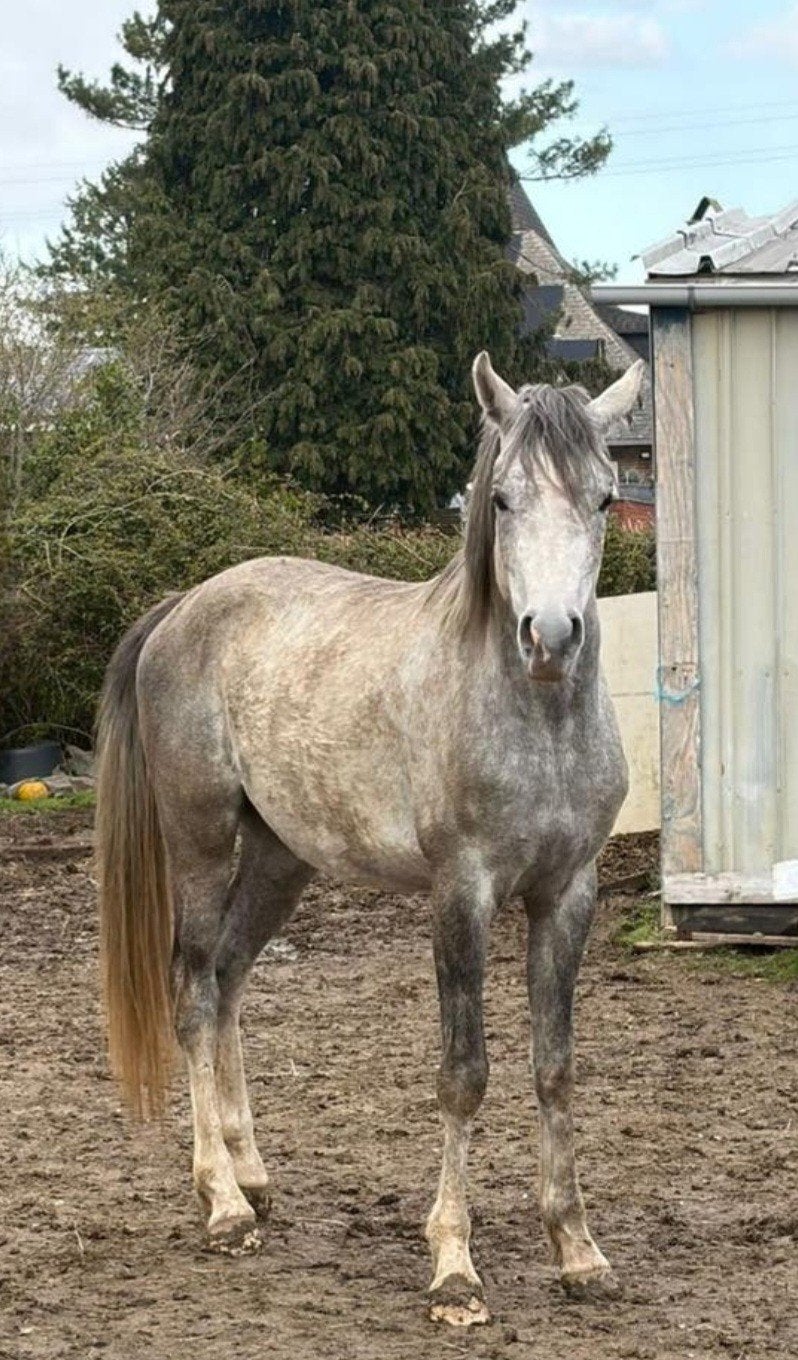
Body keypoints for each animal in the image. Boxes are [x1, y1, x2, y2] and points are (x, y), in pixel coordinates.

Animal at [96, 352, 644, 1327]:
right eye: (501, 498)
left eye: (605, 498)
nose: (550, 637)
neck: (536, 721)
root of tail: (186, 605)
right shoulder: (462, 893)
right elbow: (464, 1073)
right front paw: (455, 1270)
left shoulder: (568, 893)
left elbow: (555, 1068)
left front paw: (578, 1252)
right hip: (199, 841)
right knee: (193, 991)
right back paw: (222, 1204)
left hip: (281, 859)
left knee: (229, 980)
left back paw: (251, 1174)